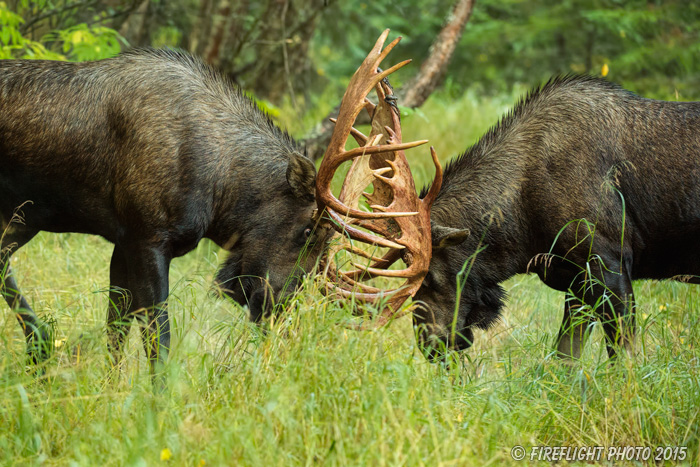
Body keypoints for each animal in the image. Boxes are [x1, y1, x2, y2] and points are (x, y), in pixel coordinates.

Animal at [0, 49, 328, 374]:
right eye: (307, 230)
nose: (283, 310)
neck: (221, 193)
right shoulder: (148, 239)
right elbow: (158, 337)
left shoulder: (124, 243)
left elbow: (117, 327)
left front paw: (111, 384)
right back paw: (40, 343)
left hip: (23, 219)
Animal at [410, 75, 700, 362]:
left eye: (428, 277)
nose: (428, 346)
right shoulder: (577, 280)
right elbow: (565, 356)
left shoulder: (609, 262)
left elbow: (624, 357)